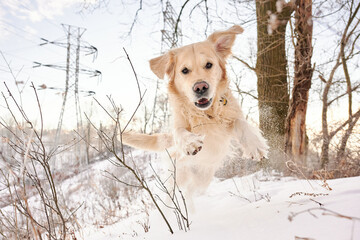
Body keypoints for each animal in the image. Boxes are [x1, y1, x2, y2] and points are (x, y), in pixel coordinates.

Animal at [122, 24, 268, 201]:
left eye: (209, 65)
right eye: (184, 70)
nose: (200, 87)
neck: (206, 113)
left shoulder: (228, 123)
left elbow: (241, 123)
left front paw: (255, 145)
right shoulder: (179, 125)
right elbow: (179, 132)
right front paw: (190, 142)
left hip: (203, 177)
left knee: (191, 190)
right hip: (178, 177)